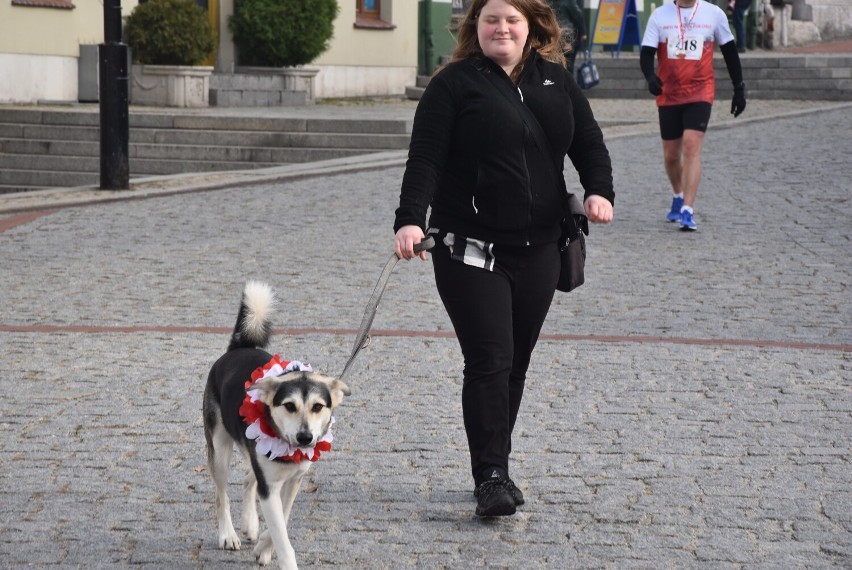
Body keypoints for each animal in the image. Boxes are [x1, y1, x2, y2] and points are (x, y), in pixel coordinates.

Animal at [204, 280, 350, 568]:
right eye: (289, 406)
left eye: (318, 407)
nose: (305, 438)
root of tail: (237, 348)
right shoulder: (269, 487)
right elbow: (282, 536)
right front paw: (279, 555)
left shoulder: (293, 481)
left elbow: (282, 517)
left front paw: (263, 547)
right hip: (219, 447)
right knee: (221, 495)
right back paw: (228, 535)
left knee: (248, 479)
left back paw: (250, 524)